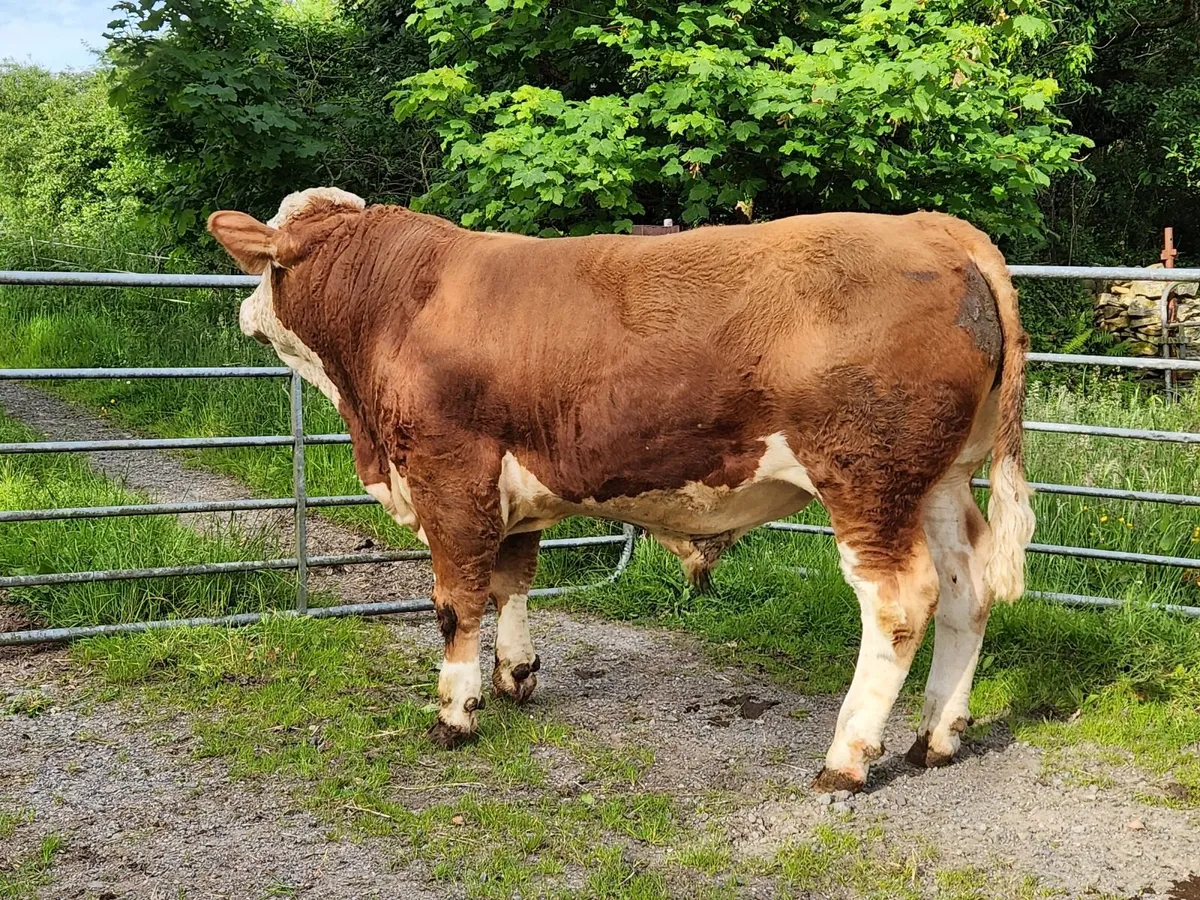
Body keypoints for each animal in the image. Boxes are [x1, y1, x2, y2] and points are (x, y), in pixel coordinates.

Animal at [208, 187, 1036, 794]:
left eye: (266, 266)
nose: (242, 312)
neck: (399, 300)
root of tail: (934, 230)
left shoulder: (450, 476)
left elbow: (456, 602)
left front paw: (455, 712)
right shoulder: (512, 492)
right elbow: (512, 582)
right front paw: (514, 676)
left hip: (867, 479)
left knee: (899, 601)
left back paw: (849, 755)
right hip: (939, 479)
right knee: (967, 589)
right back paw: (937, 735)